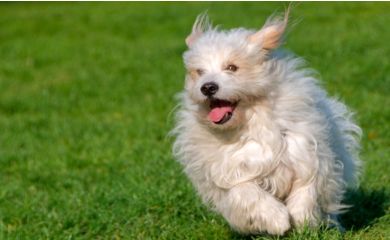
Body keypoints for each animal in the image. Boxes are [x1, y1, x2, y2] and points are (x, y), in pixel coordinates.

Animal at [172, 8, 362, 234]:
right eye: (199, 72)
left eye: (232, 67)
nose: (207, 87)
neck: (251, 123)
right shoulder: (228, 170)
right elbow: (246, 191)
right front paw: (277, 219)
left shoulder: (307, 152)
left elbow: (307, 187)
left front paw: (302, 220)